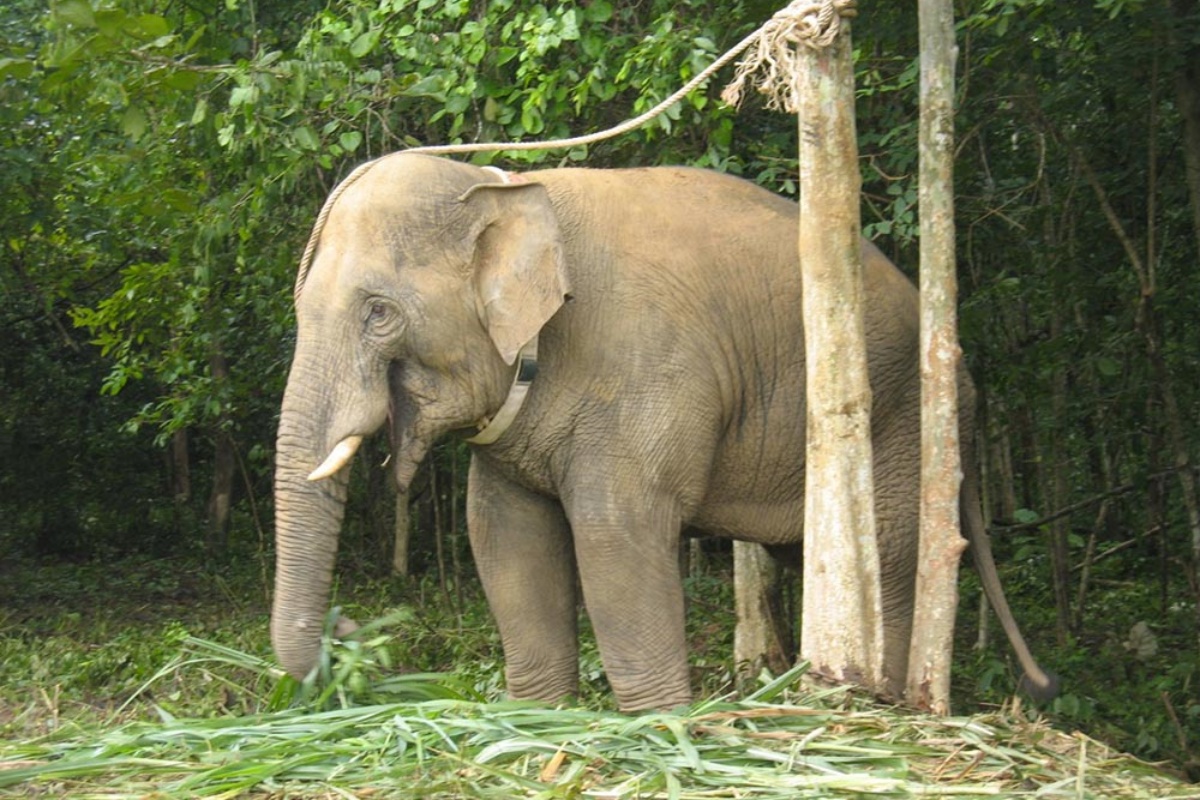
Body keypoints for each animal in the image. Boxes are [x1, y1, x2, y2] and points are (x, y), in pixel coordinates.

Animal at [270, 151, 1051, 714]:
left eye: (378, 312)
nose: (350, 633)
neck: (505, 185)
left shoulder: (644, 370)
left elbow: (614, 534)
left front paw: (659, 725)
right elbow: (505, 536)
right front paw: (540, 720)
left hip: (902, 424)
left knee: (889, 559)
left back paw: (881, 709)